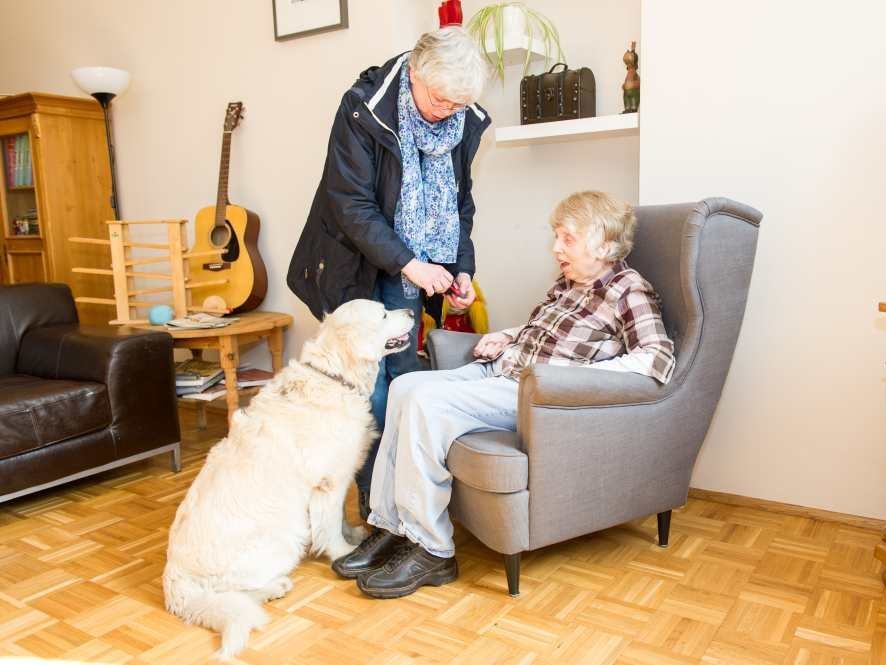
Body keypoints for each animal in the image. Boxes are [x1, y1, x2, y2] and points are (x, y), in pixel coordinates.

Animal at [165, 298, 414, 656]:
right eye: (383, 314)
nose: (411, 311)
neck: (333, 377)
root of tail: (175, 583)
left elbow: (336, 518)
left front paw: (352, 534)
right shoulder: (329, 483)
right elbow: (328, 525)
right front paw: (342, 551)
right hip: (285, 538)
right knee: (233, 596)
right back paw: (275, 587)